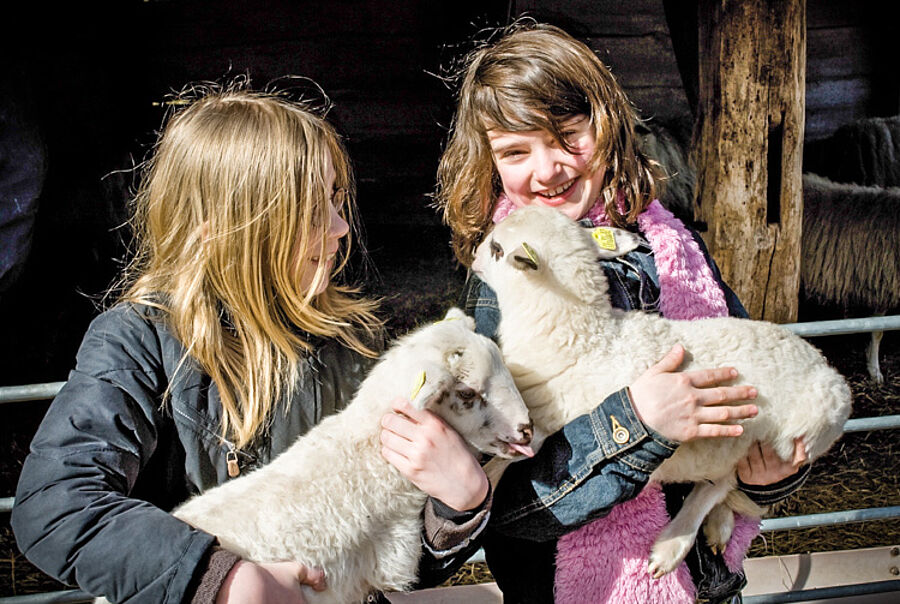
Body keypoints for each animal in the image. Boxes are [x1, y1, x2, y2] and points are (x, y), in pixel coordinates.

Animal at [474, 206, 856, 576]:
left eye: (497, 250)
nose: (475, 258)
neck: (583, 336)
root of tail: (827, 368)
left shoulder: (548, 420)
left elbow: (509, 456)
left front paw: (485, 481)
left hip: (791, 438)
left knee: (718, 486)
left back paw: (673, 546)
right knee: (719, 482)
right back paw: (712, 528)